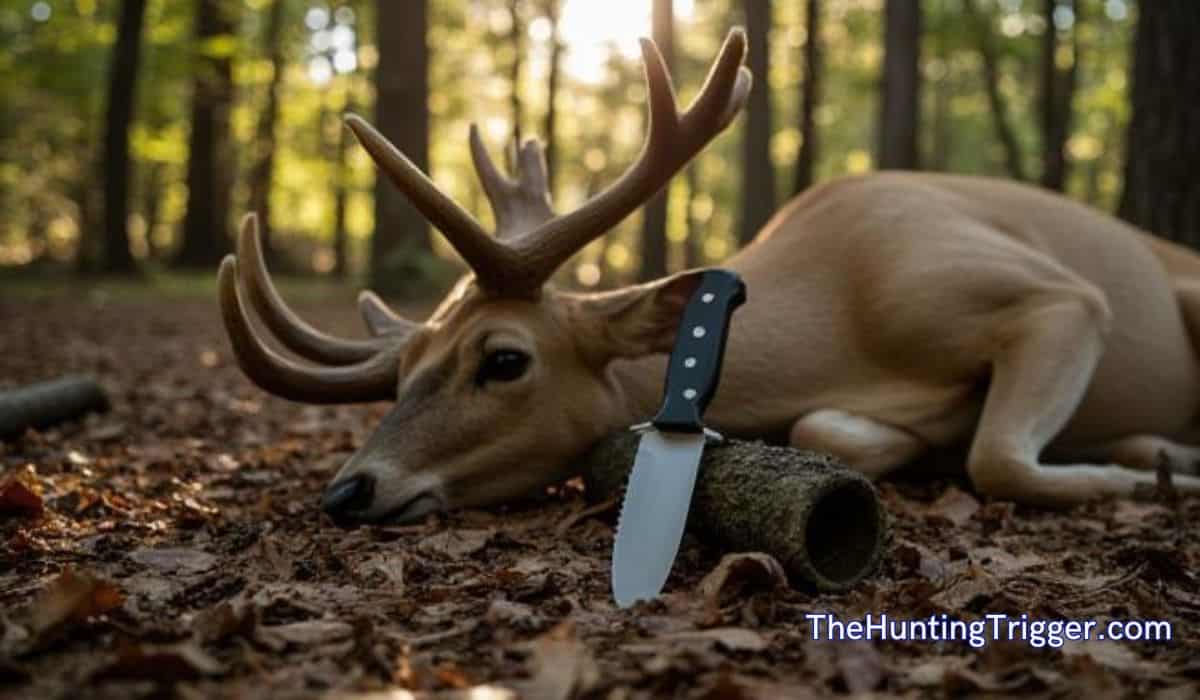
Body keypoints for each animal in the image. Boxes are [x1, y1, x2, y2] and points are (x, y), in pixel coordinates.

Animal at [218, 28, 1200, 525]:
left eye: (503, 360)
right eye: (406, 376)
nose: (348, 489)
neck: (840, 316)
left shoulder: (1049, 293)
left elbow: (998, 458)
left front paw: (1159, 485)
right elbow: (837, 429)